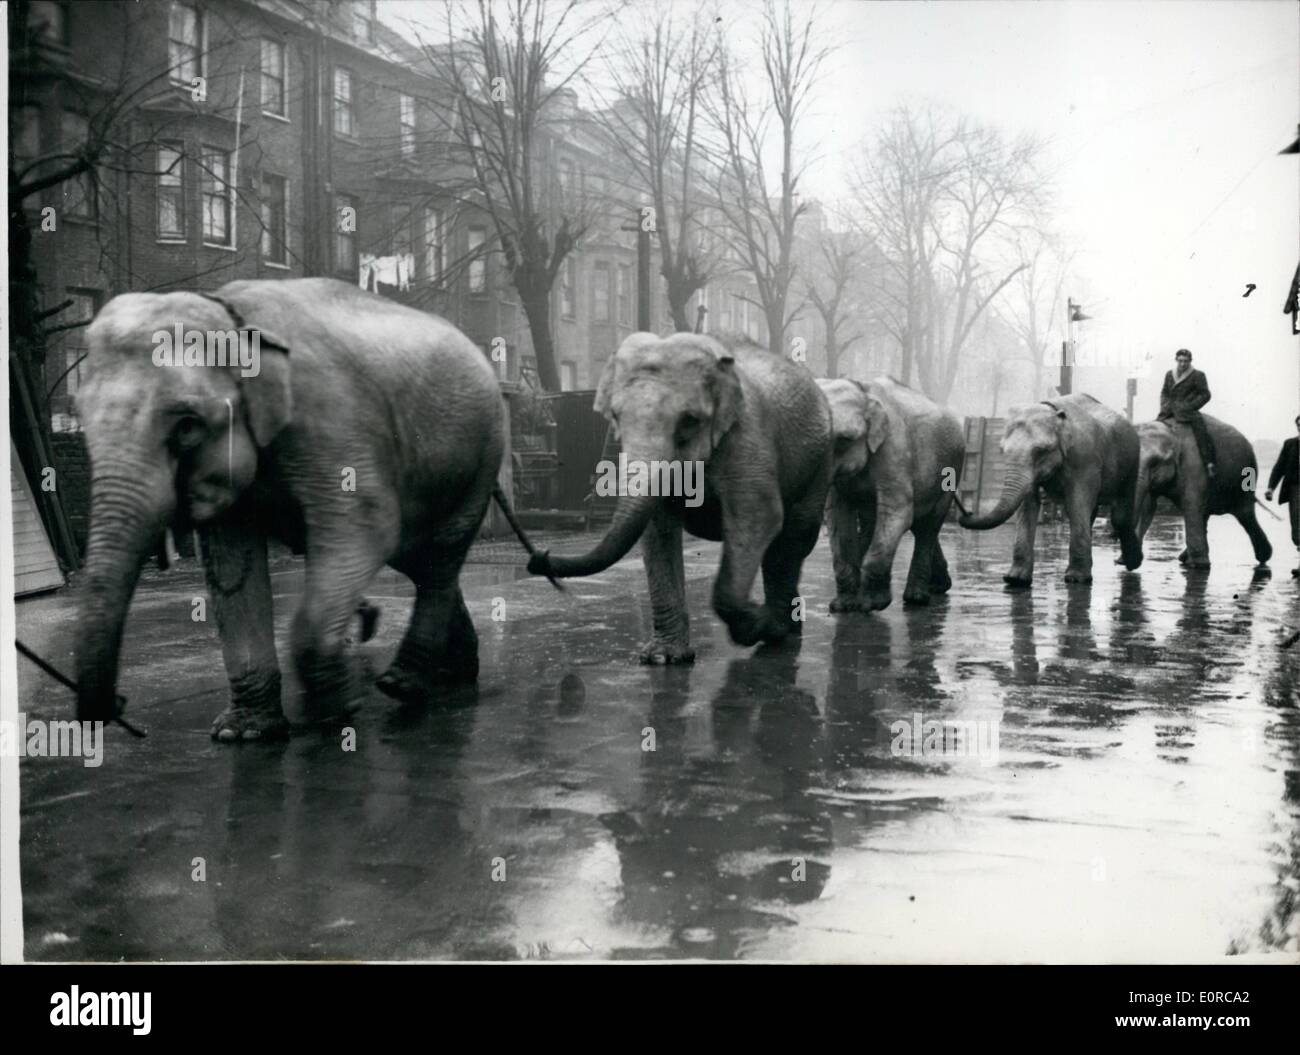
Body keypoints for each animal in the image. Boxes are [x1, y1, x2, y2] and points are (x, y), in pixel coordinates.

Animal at [74, 280, 512, 743]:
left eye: (187, 426)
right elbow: (233, 564)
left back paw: (404, 684)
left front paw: (336, 711)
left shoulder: (333, 419)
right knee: (416, 558)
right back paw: (452, 672)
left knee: (438, 558)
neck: (232, 316)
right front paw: (242, 733)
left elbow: (368, 528)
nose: (120, 708)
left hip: (483, 454)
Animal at [527, 331, 832, 660]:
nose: (539, 557)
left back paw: (779, 631)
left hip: (820, 464)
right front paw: (663, 657)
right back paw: (786, 627)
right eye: (616, 417)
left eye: (689, 420)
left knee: (793, 537)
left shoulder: (748, 436)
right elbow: (657, 529)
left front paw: (753, 626)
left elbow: (758, 517)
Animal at [821, 376, 967, 610]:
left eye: (844, 440)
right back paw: (939, 587)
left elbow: (898, 512)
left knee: (928, 526)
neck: (863, 391)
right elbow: (837, 516)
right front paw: (843, 606)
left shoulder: (894, 448)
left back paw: (917, 598)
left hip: (952, 468)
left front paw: (872, 604)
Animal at [961, 392, 1144, 584]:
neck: (1055, 414)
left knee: (1119, 516)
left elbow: (1076, 504)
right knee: (1093, 514)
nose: (967, 513)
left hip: (1132, 461)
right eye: (1002, 450)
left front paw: (1076, 580)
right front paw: (1015, 580)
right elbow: (1028, 504)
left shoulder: (1084, 458)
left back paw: (1131, 563)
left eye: (1041, 450)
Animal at [1133, 413, 1274, 569]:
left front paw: (1199, 566)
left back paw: (1264, 556)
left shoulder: (1193, 464)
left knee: (1245, 515)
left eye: (1156, 463)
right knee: (1205, 515)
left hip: (1245, 480)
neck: (1170, 430)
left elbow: (1190, 505)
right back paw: (1183, 558)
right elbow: (1148, 505)